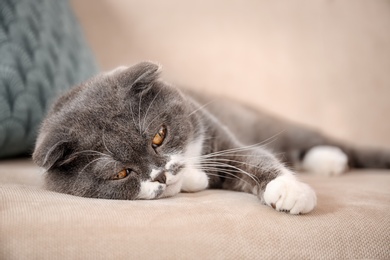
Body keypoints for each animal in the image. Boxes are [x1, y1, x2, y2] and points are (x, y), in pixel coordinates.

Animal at [32, 62, 390, 214]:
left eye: (158, 136)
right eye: (121, 173)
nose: (161, 174)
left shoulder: (221, 137)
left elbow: (253, 158)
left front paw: (290, 191)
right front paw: (195, 181)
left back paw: (336, 157)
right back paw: (331, 162)